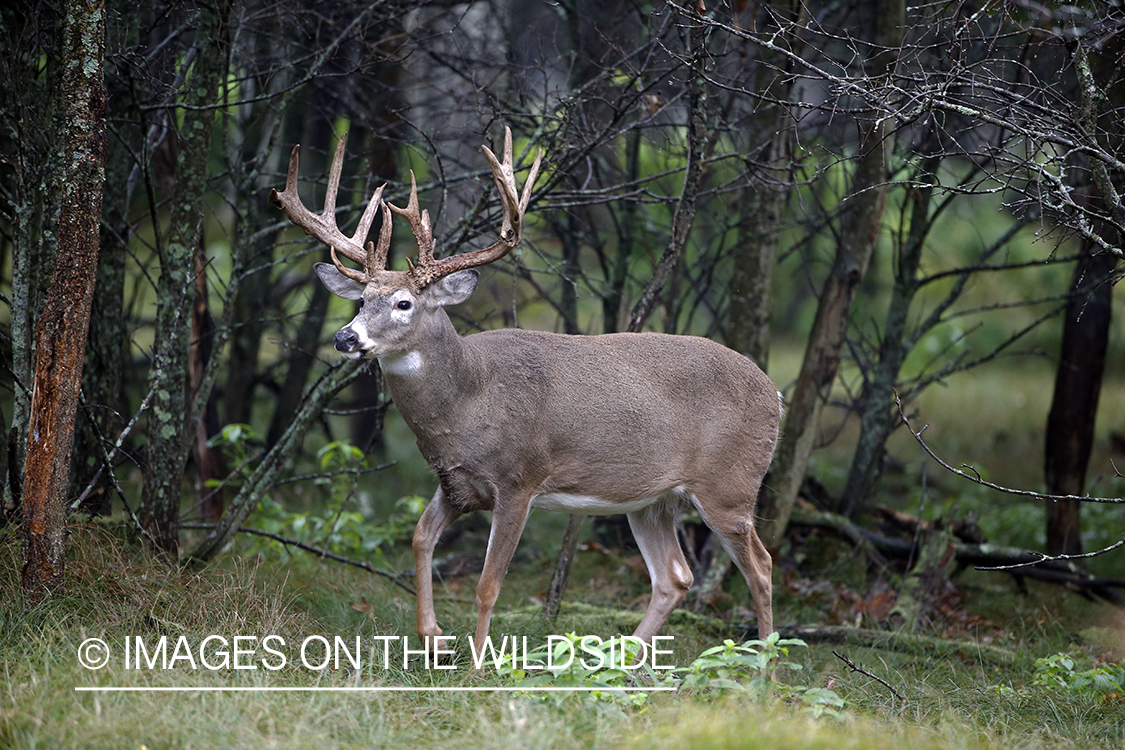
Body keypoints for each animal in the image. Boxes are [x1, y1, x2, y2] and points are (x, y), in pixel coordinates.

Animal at [272, 127, 783, 652]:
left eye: (403, 303)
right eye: (361, 300)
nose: (345, 338)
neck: (468, 401)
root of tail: (775, 393)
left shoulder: (520, 479)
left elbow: (487, 583)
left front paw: (478, 658)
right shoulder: (456, 483)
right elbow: (420, 537)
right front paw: (432, 637)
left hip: (730, 484)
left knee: (762, 567)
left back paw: (764, 661)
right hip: (651, 499)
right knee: (674, 576)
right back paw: (624, 660)